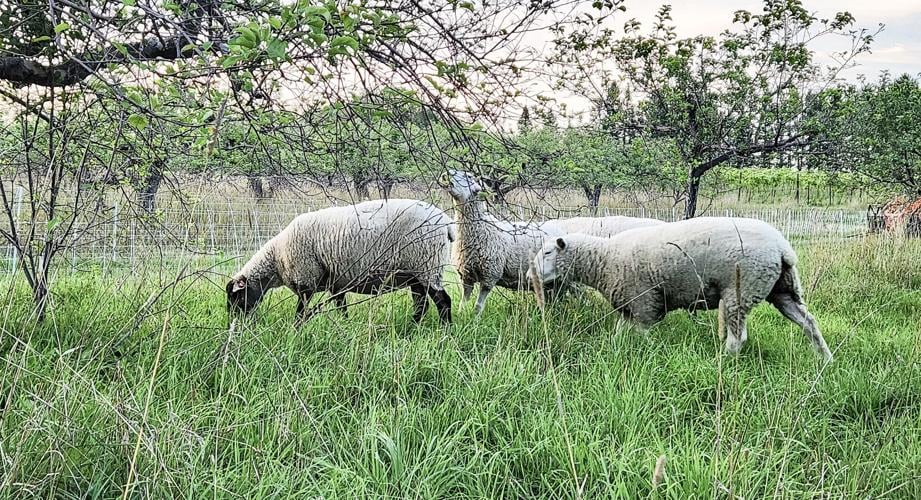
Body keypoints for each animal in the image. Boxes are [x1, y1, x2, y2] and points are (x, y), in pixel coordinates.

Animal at [227, 199, 454, 324]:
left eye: (237, 297)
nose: (234, 321)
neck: (276, 259)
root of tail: (446, 222)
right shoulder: (337, 284)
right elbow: (341, 308)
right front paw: (344, 327)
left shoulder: (306, 280)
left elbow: (301, 312)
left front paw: (295, 330)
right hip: (416, 273)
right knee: (421, 305)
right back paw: (412, 326)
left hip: (427, 264)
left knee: (443, 301)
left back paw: (446, 331)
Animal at [440, 169, 662, 315]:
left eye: (468, 177)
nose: (446, 173)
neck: (480, 229)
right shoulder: (466, 275)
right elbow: (464, 301)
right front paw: (461, 316)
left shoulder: (490, 274)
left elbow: (478, 306)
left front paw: (475, 319)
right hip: (556, 282)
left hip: (570, 280)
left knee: (582, 297)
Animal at [528, 217, 833, 360]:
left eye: (547, 253)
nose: (531, 276)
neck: (603, 259)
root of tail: (782, 248)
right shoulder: (628, 307)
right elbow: (619, 335)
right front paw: (616, 350)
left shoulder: (644, 303)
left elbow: (643, 335)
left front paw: (647, 352)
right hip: (782, 288)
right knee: (808, 321)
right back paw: (825, 358)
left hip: (741, 290)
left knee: (738, 338)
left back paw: (724, 360)